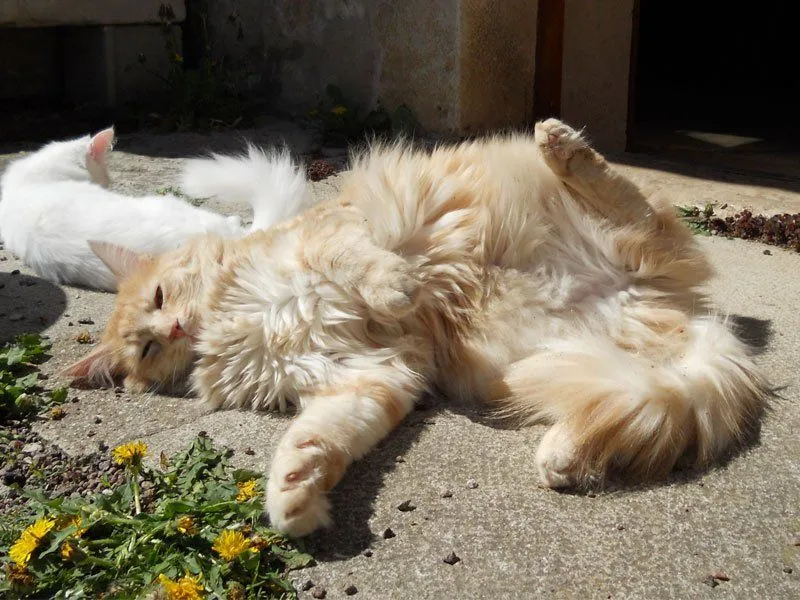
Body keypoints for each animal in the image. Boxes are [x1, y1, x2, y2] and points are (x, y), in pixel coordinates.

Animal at [67, 119, 768, 536]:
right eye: (147, 349)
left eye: (160, 296)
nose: (173, 331)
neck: (232, 324)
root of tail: (687, 312)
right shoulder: (366, 377)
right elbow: (319, 440)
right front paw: (294, 500)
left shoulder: (337, 240)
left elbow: (367, 265)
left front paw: (397, 287)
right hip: (563, 359)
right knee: (626, 397)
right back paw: (561, 456)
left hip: (623, 241)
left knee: (642, 214)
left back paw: (560, 145)